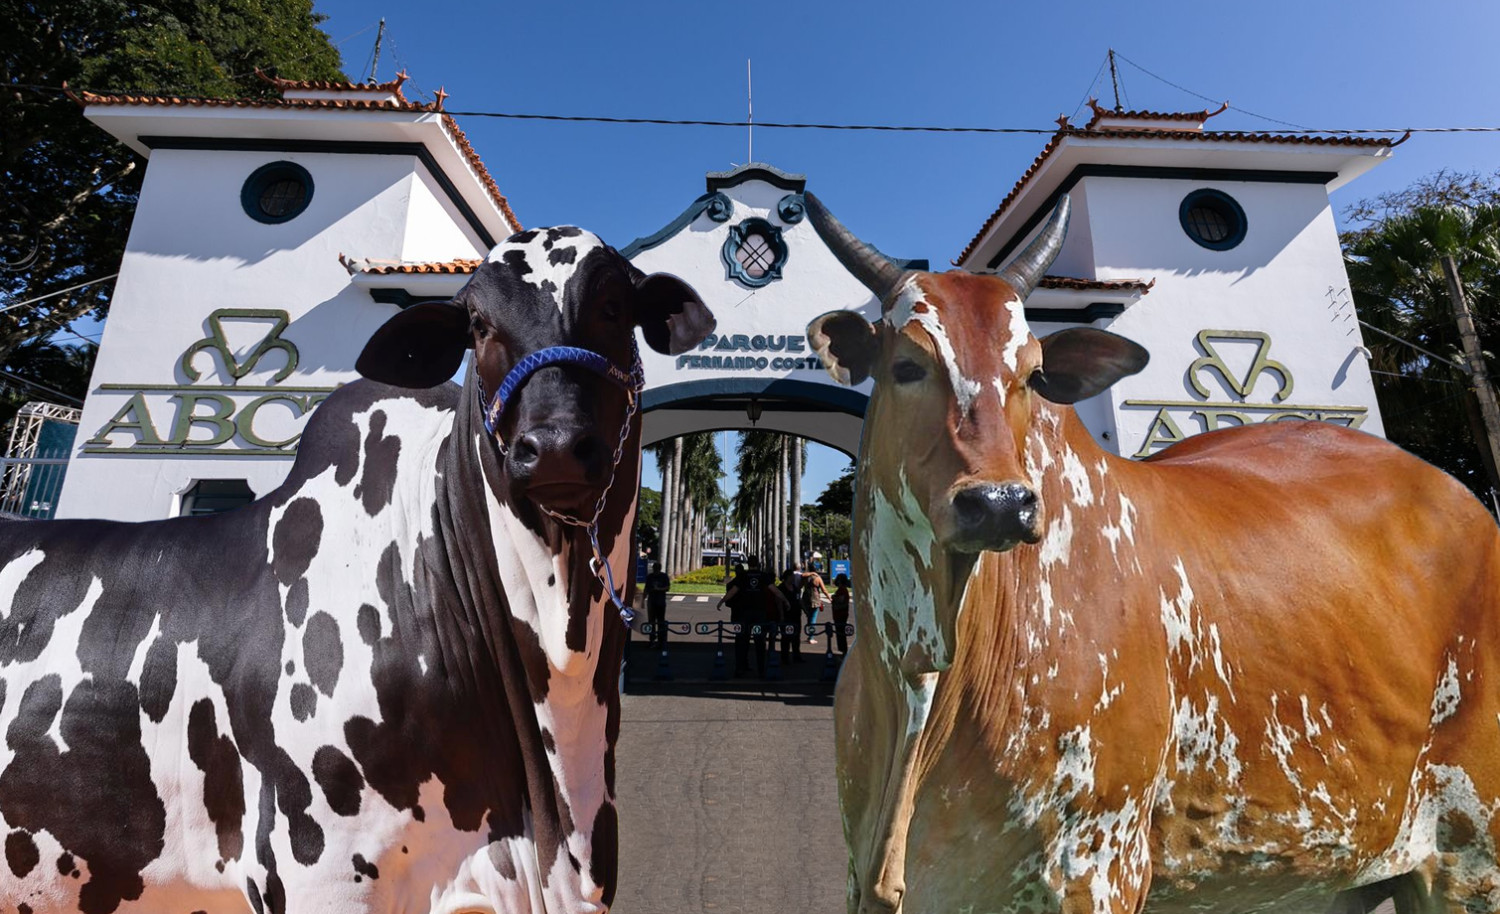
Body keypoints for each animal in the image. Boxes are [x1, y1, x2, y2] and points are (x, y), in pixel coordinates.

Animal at [804, 193, 1500, 912]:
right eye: (906, 367)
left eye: (1032, 375)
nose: (1000, 503)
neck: (925, 680)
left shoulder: (1097, 868)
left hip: (1468, 856)